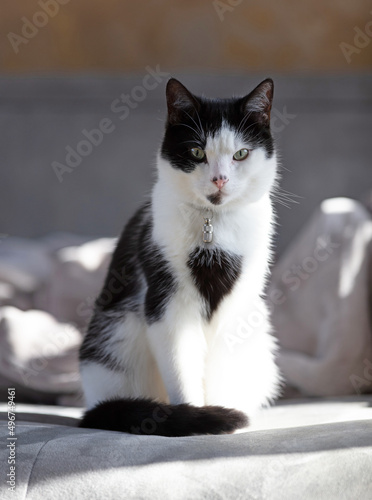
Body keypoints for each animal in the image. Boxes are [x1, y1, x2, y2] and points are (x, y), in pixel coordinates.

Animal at [79, 76, 282, 436]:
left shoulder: (236, 304)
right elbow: (181, 365)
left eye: (241, 154)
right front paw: (198, 416)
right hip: (113, 340)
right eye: (196, 151)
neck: (213, 224)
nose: (220, 178)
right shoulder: (168, 299)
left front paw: (223, 413)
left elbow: (218, 368)